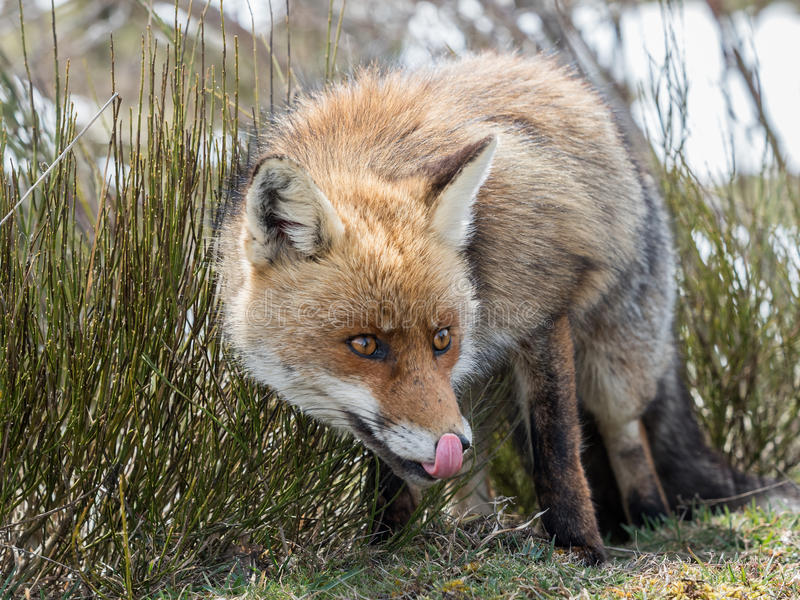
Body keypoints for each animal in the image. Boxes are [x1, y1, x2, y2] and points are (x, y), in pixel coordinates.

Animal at [217, 54, 792, 564]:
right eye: (364, 345)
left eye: (442, 339)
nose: (450, 443)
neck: (367, 151)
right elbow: (390, 468)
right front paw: (383, 543)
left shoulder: (541, 311)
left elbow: (557, 447)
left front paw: (579, 546)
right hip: (476, 391)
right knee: (480, 465)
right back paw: (474, 525)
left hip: (613, 363)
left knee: (626, 436)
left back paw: (647, 520)